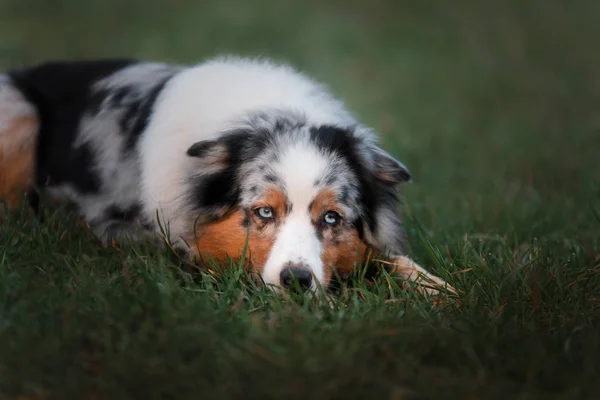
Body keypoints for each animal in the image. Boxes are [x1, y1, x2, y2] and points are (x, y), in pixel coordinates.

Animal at [0, 55, 452, 294]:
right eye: (264, 212)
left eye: (331, 218)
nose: (296, 281)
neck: (271, 113)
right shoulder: (129, 229)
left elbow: (392, 258)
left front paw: (440, 292)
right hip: (18, 108)